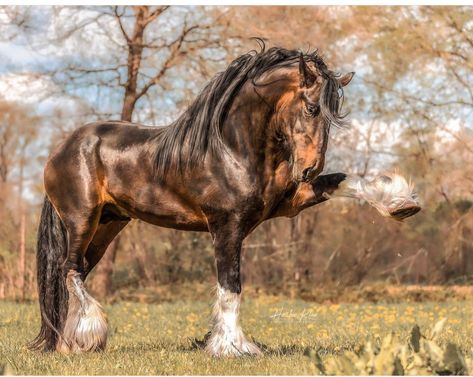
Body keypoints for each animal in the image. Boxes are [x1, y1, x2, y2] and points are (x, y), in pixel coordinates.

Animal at [29, 44, 414, 356]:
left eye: (332, 116)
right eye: (310, 108)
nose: (307, 169)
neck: (233, 149)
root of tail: (61, 149)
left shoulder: (289, 203)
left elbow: (344, 180)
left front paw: (400, 203)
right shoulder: (226, 226)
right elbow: (231, 285)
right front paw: (233, 347)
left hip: (108, 225)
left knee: (76, 272)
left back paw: (68, 343)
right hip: (82, 219)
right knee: (69, 269)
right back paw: (86, 337)